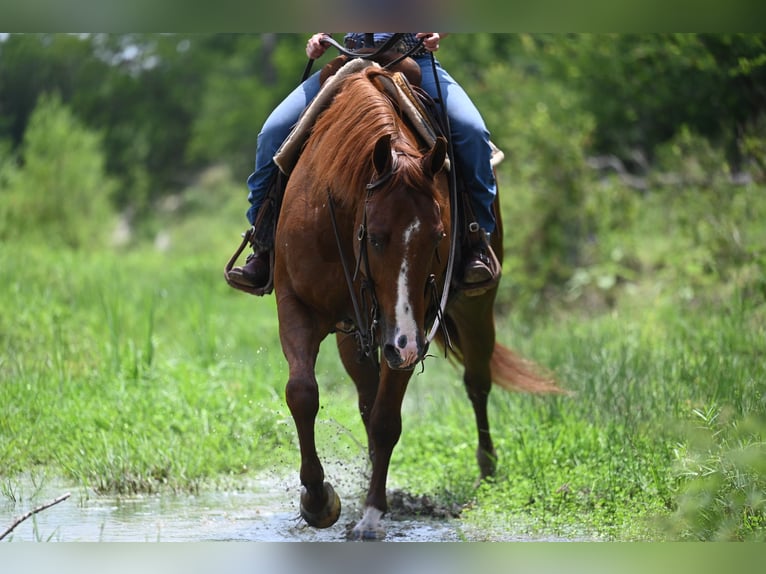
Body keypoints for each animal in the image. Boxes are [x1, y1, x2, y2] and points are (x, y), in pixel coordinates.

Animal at [273, 65, 559, 540]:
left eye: (439, 236)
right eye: (375, 237)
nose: (403, 344)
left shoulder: (414, 326)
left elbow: (387, 419)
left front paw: (373, 513)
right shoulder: (297, 306)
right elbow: (303, 394)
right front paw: (317, 501)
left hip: (474, 310)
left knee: (477, 381)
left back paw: (486, 469)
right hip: (361, 334)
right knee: (365, 397)